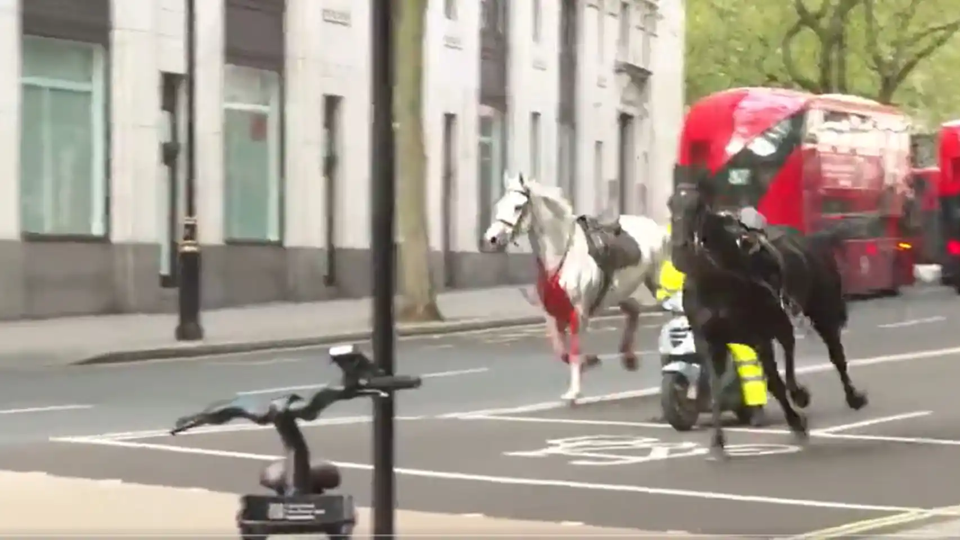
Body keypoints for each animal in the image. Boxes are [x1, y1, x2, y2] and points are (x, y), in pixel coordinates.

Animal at [484, 171, 672, 402]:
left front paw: (573, 391)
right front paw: (589, 361)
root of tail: (659, 229)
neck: (561, 255)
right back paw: (629, 357)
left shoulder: (579, 312)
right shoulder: (552, 314)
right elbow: (561, 351)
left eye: (518, 206)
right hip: (618, 292)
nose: (491, 239)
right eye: (499, 204)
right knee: (634, 309)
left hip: (658, 285)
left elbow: (573, 350)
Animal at [672, 179, 868, 458]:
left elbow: (775, 383)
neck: (718, 279)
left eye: (698, 207)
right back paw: (799, 393)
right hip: (781, 320)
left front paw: (797, 423)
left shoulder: (758, 337)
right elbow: (714, 390)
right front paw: (717, 443)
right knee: (789, 342)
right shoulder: (710, 342)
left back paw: (848, 397)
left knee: (834, 355)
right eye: (671, 204)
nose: (680, 249)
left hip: (821, 312)